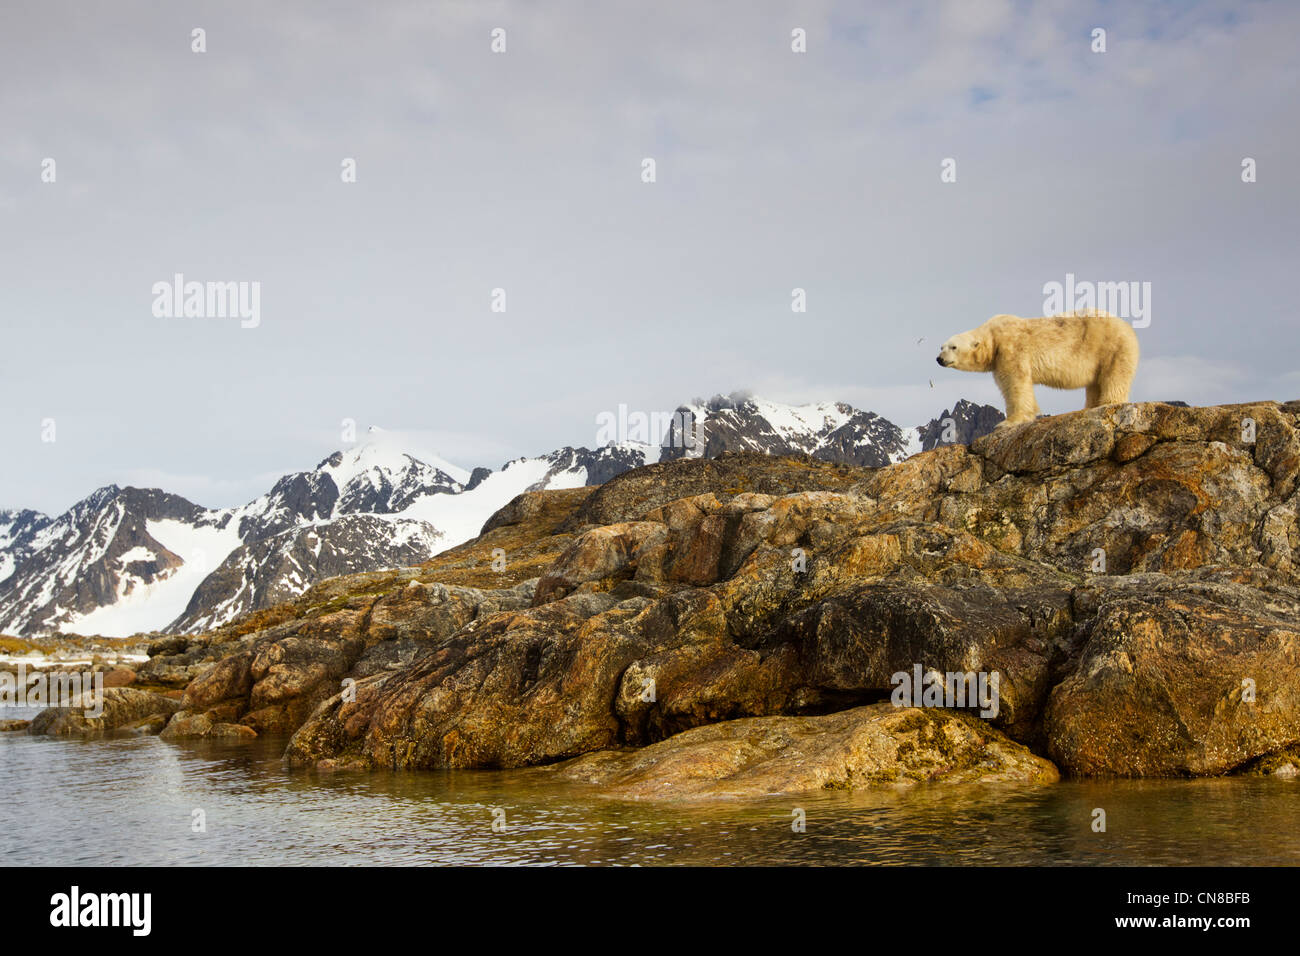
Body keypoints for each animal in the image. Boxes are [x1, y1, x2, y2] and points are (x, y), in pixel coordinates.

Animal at [936, 311, 1139, 426]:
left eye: (953, 347)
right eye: (941, 347)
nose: (939, 359)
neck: (993, 336)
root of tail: (1128, 328)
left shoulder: (1011, 348)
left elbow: (1015, 382)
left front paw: (1008, 422)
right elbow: (1006, 384)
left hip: (1111, 347)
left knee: (1113, 376)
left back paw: (1108, 402)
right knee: (1095, 383)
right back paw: (1090, 406)